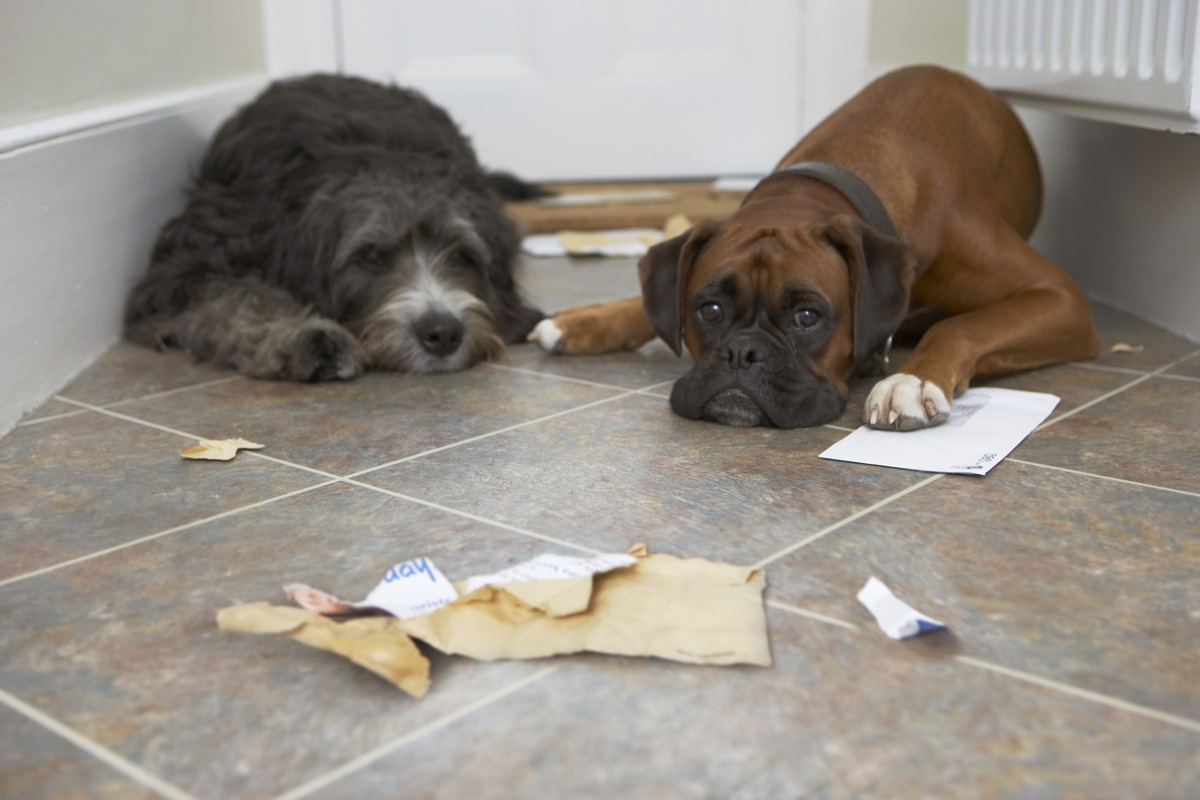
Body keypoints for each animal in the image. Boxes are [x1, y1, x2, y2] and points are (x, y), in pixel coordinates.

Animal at [124, 73, 547, 381]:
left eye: (462, 255)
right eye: (370, 256)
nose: (442, 333)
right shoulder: (180, 270)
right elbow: (236, 296)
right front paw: (306, 336)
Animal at [530, 67, 1099, 431]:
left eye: (807, 317)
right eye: (708, 311)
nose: (743, 352)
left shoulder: (1060, 297)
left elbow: (960, 326)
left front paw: (912, 380)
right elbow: (651, 303)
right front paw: (587, 319)